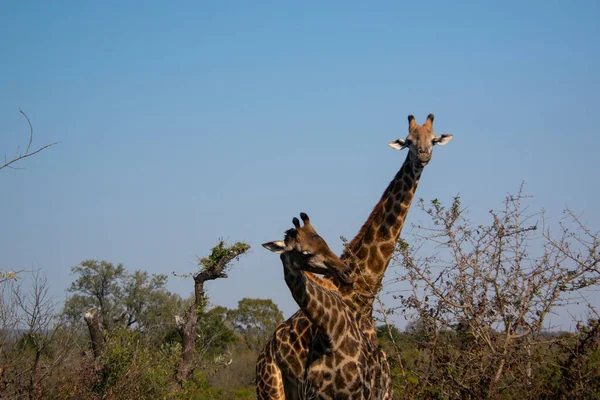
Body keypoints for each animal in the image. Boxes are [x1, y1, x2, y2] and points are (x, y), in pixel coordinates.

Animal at [258, 214, 392, 400]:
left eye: (324, 242)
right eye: (305, 253)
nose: (347, 273)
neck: (330, 335)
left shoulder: (357, 394)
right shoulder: (315, 394)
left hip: (385, 394)